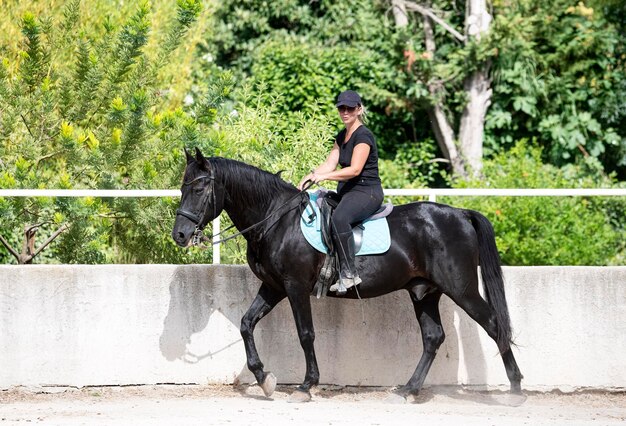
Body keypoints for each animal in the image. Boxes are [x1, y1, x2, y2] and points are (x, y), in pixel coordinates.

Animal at [171, 150, 520, 402]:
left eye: (199, 187)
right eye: (182, 186)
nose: (180, 234)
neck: (276, 220)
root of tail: (461, 214)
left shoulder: (295, 287)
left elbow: (306, 334)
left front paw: (306, 386)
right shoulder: (273, 286)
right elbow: (246, 324)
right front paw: (264, 379)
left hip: (461, 289)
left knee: (494, 325)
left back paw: (516, 389)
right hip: (424, 292)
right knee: (433, 337)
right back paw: (408, 391)